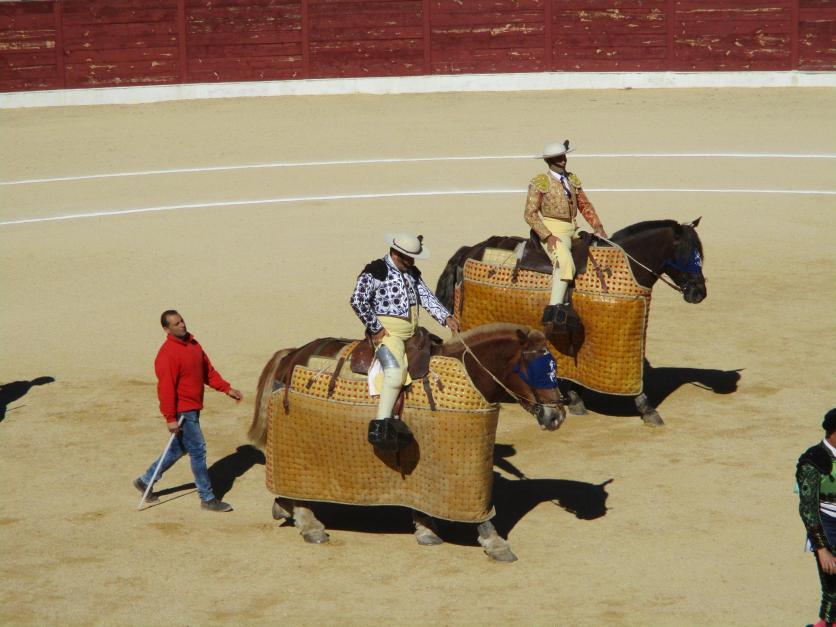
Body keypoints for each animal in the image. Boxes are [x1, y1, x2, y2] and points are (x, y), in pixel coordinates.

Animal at [247, 323, 566, 562]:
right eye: (538, 369)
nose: (557, 416)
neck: (470, 373)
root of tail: (292, 355)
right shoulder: (464, 467)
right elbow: (479, 513)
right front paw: (496, 544)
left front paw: (426, 530)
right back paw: (309, 524)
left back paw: (283, 506)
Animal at [435, 218, 707, 426]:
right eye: (688, 254)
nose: (699, 293)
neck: (628, 265)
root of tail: (469, 250)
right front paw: (648, 410)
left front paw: (576, 399)